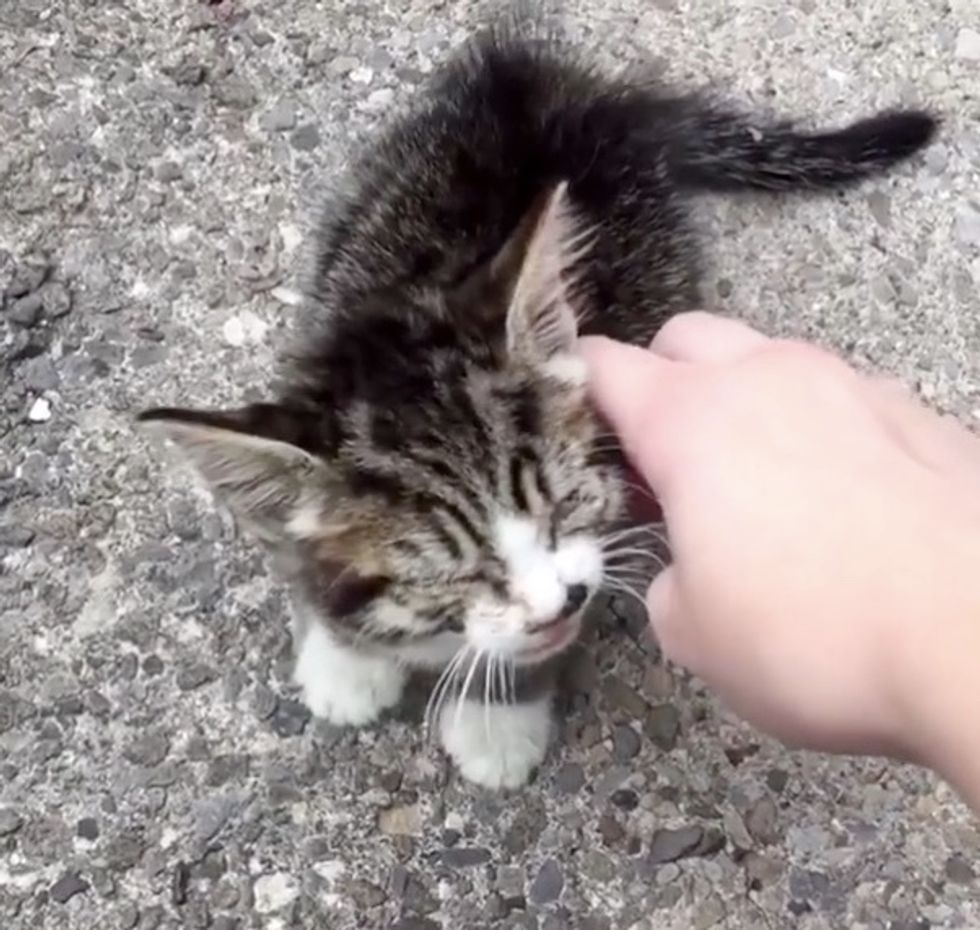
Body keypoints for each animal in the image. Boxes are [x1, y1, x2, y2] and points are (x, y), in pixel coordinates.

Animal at [138, 10, 936, 788]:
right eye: (451, 570)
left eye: (565, 503)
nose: (562, 600)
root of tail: (566, 98)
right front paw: (344, 656)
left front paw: (497, 721)